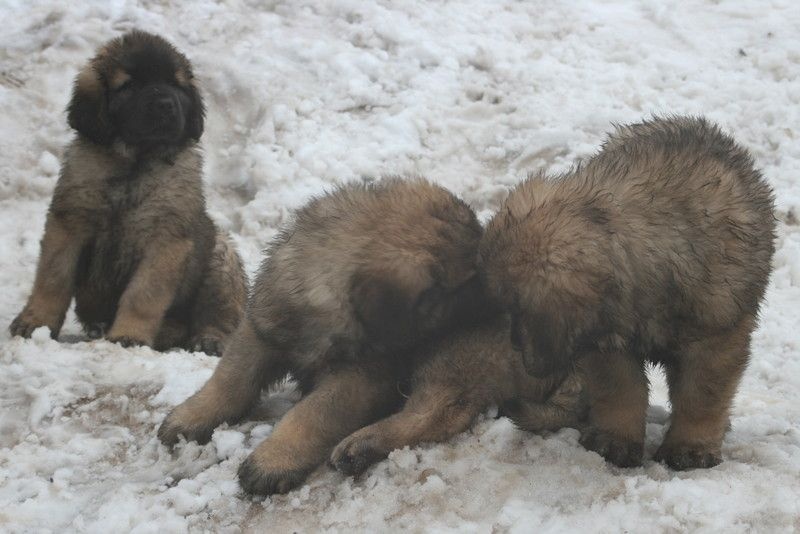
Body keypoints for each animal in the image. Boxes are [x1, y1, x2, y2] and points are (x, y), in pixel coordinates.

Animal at [8, 30, 247, 356]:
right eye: (130, 86)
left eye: (175, 84)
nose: (165, 104)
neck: (134, 164)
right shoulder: (69, 223)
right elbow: (52, 278)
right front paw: (36, 323)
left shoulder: (166, 240)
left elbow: (143, 294)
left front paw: (129, 335)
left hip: (221, 257)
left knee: (221, 314)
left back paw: (207, 338)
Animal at [155, 178, 482, 496]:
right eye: (467, 282)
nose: (490, 301)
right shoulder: (261, 330)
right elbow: (229, 378)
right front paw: (191, 415)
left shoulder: (357, 378)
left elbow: (311, 414)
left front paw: (273, 459)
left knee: (435, 413)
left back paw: (357, 447)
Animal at [482, 116, 776, 468]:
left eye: (516, 309)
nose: (514, 344)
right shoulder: (605, 341)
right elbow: (621, 390)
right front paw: (615, 440)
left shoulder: (717, 335)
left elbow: (701, 395)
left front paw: (690, 447)